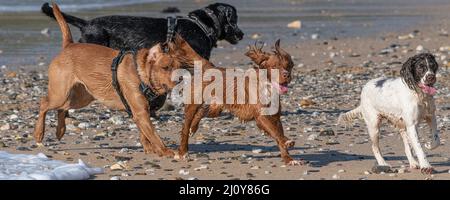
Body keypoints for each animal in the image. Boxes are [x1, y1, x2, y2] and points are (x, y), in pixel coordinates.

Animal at [34, 2, 202, 157]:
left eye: (180, 67)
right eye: (165, 67)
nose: (181, 79)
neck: (140, 73)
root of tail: (69, 45)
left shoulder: (141, 112)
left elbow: (145, 134)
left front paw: (149, 149)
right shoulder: (140, 112)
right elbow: (154, 135)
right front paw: (165, 151)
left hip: (81, 97)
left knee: (62, 108)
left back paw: (60, 131)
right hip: (60, 93)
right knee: (44, 103)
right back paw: (39, 133)